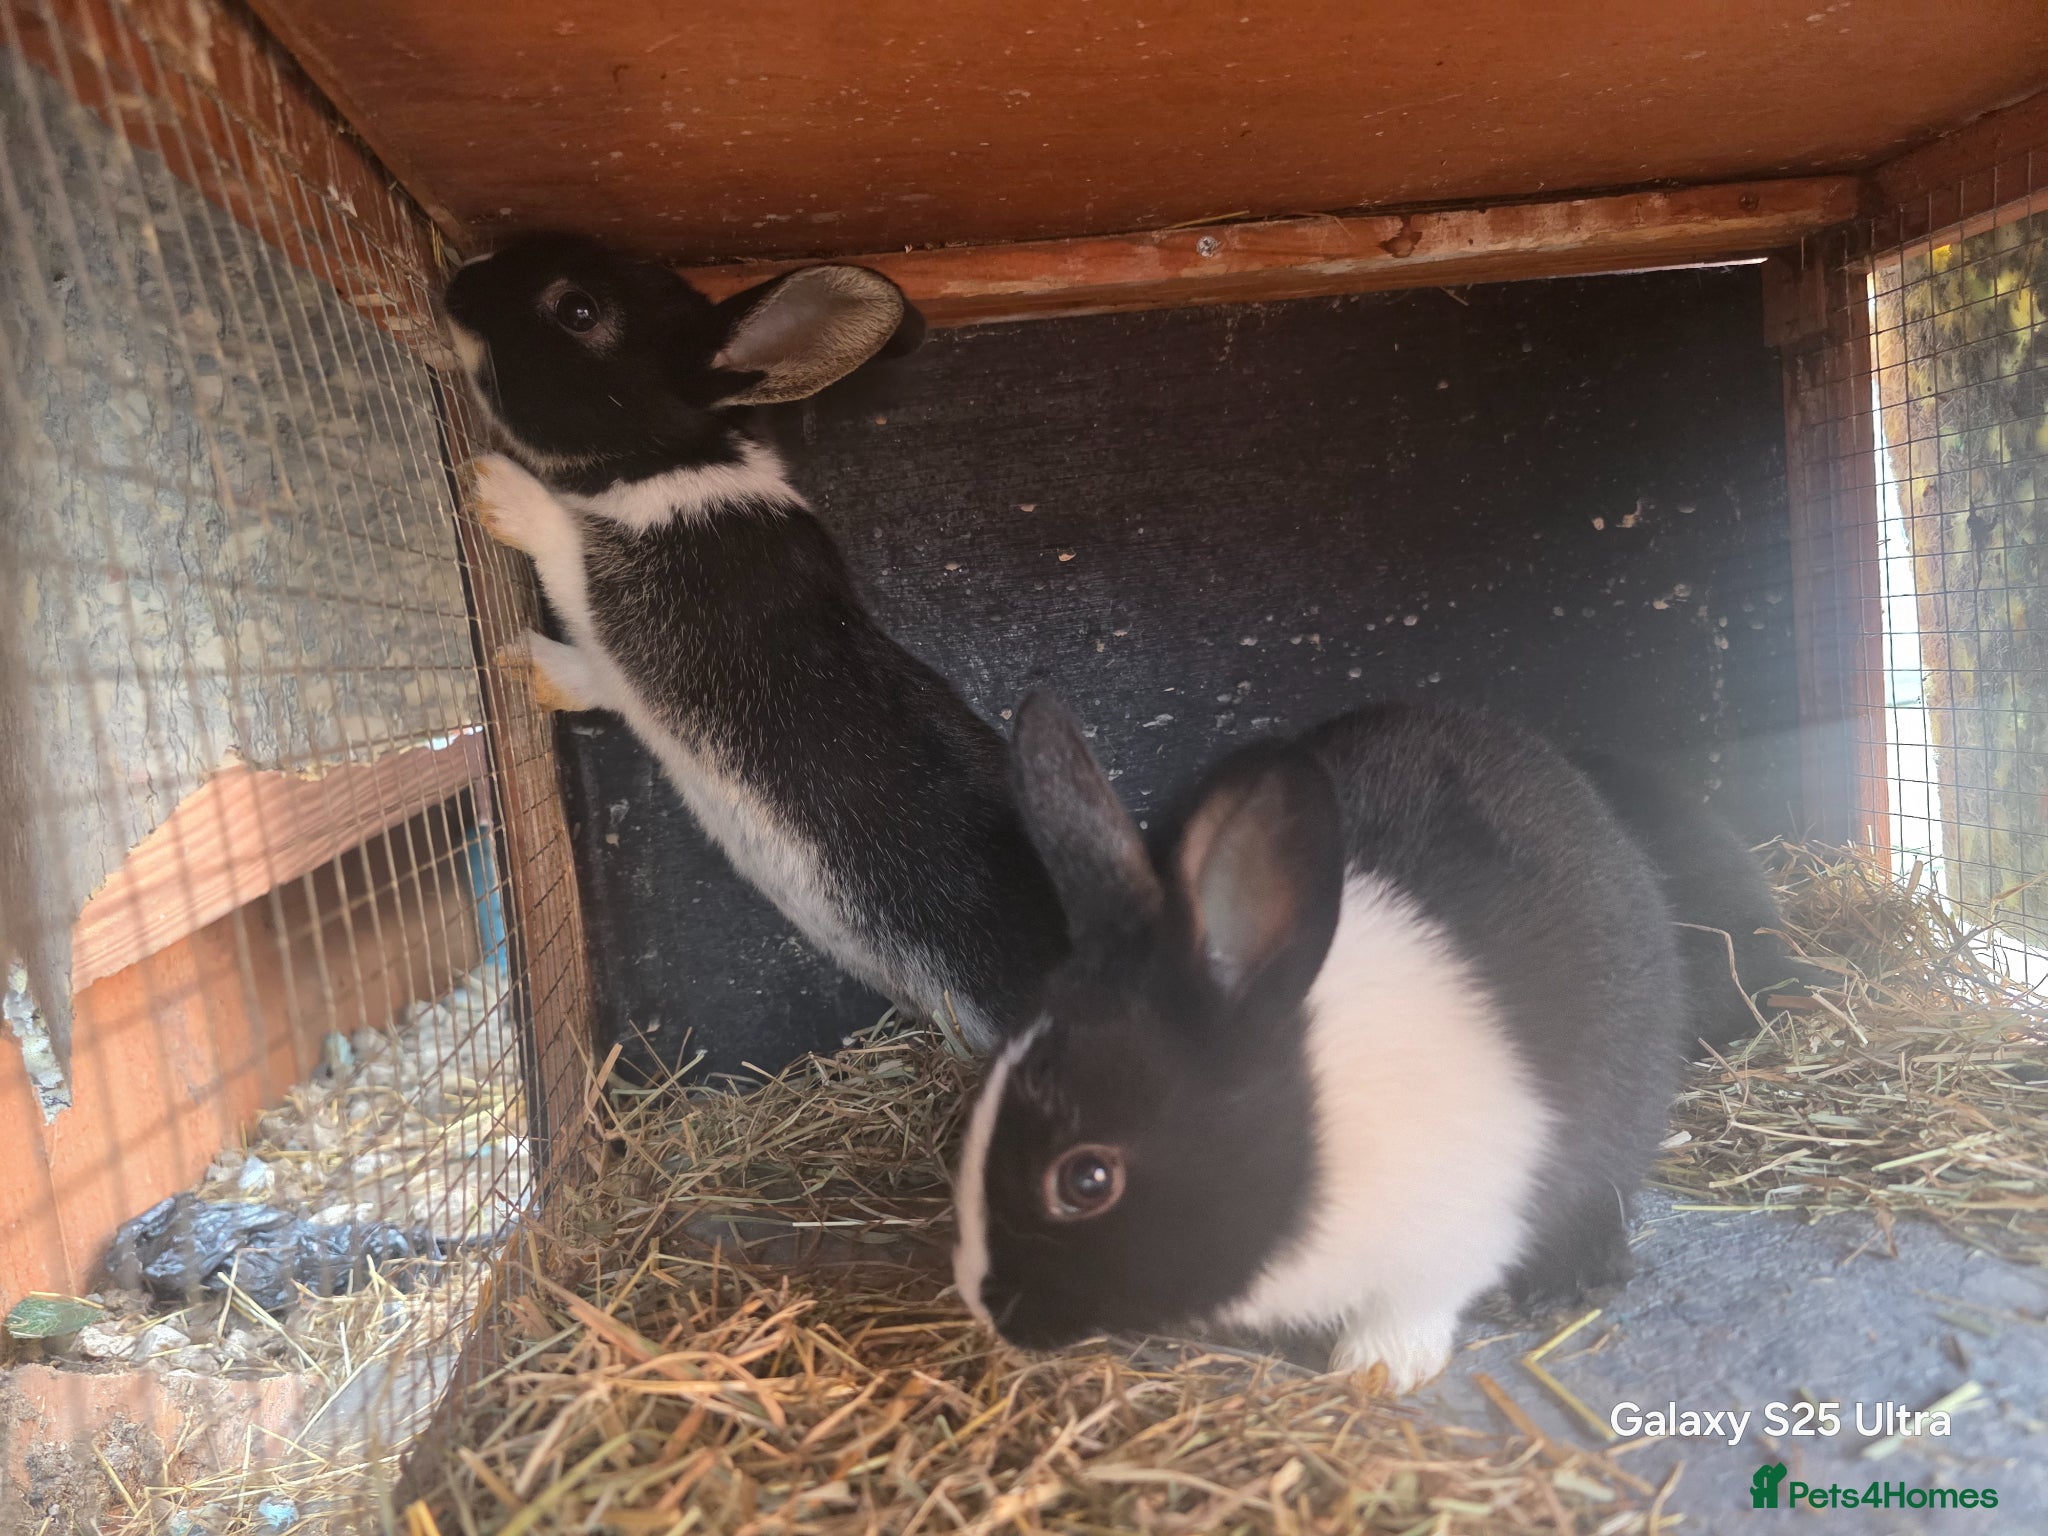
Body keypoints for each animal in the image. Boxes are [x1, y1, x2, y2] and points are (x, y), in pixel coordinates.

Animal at [439, 234, 1067, 1053]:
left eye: (578, 310)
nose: (458, 282)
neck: (671, 458)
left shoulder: (634, 603)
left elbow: (566, 550)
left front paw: (497, 487)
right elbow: (592, 677)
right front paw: (528, 666)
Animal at [952, 693, 1698, 1391]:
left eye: (1087, 1181)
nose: (985, 1306)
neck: (1316, 1135)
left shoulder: (1464, 1228)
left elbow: (1413, 1305)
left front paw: (1376, 1371)